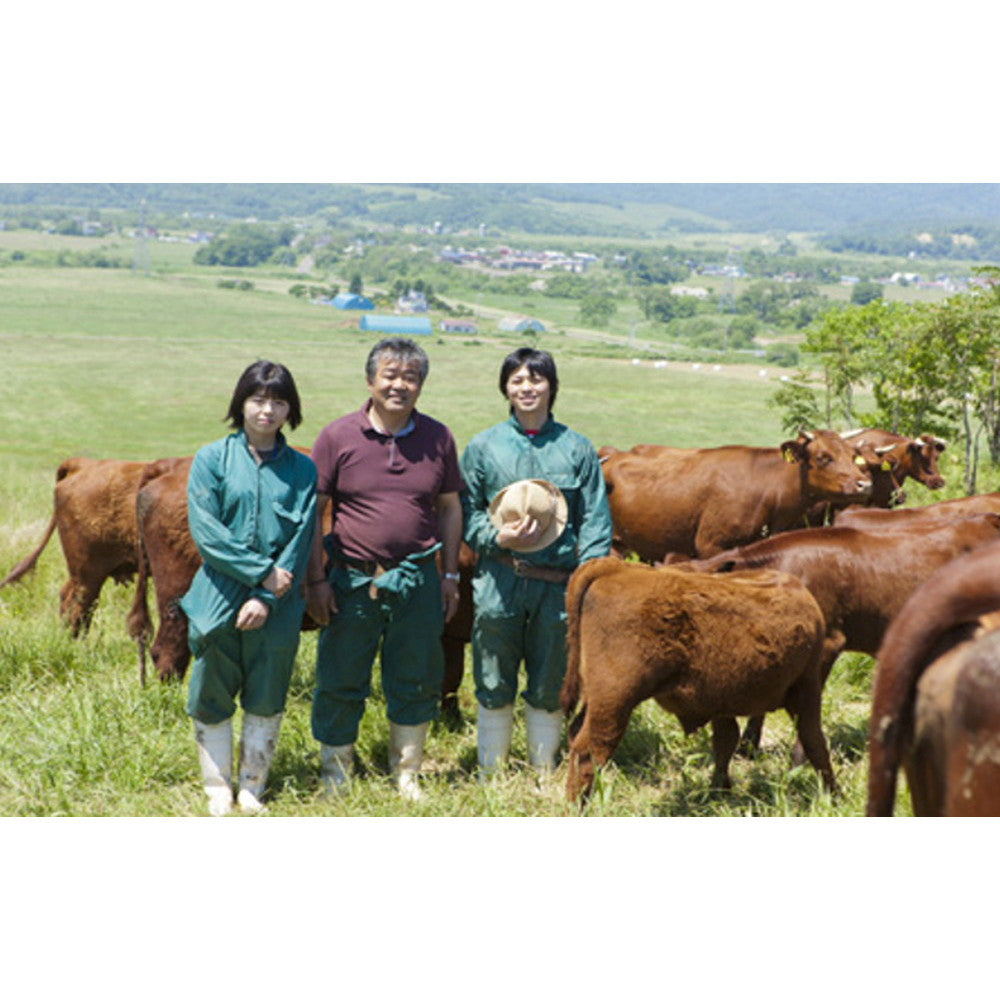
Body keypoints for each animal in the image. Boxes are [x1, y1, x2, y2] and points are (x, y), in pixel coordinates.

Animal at [560, 560, 832, 800]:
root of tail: (618, 567)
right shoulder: (807, 685)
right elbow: (815, 742)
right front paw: (833, 794)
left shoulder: (722, 702)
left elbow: (725, 741)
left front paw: (720, 792)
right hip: (614, 701)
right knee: (590, 752)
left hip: (595, 699)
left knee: (576, 736)